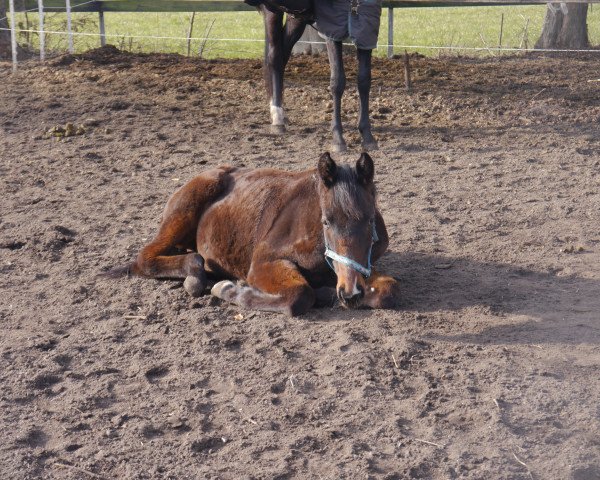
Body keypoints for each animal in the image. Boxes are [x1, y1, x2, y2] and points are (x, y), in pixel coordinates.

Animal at [104, 154, 398, 316]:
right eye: (326, 221)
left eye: (370, 220)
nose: (350, 293)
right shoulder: (263, 263)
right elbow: (300, 295)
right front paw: (231, 290)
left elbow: (388, 290)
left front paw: (329, 293)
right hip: (182, 212)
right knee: (145, 258)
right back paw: (195, 274)